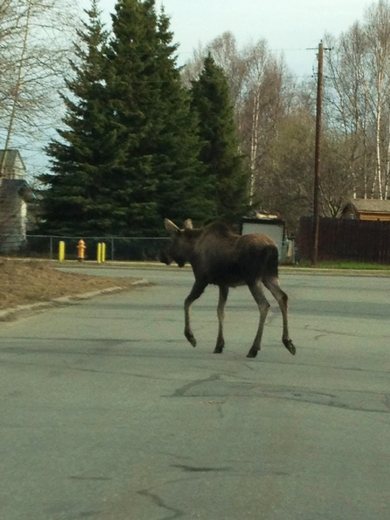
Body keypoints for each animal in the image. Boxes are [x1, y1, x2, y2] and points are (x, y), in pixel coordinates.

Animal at [161, 218, 296, 358]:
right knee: (282, 297)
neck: (192, 251)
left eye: (172, 240)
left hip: (253, 279)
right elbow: (220, 311)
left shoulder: (201, 280)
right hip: (269, 276)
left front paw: (191, 337)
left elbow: (187, 302)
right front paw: (219, 345)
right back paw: (288, 342)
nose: (163, 256)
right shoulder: (223, 284)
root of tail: (272, 248)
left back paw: (254, 348)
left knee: (264, 305)